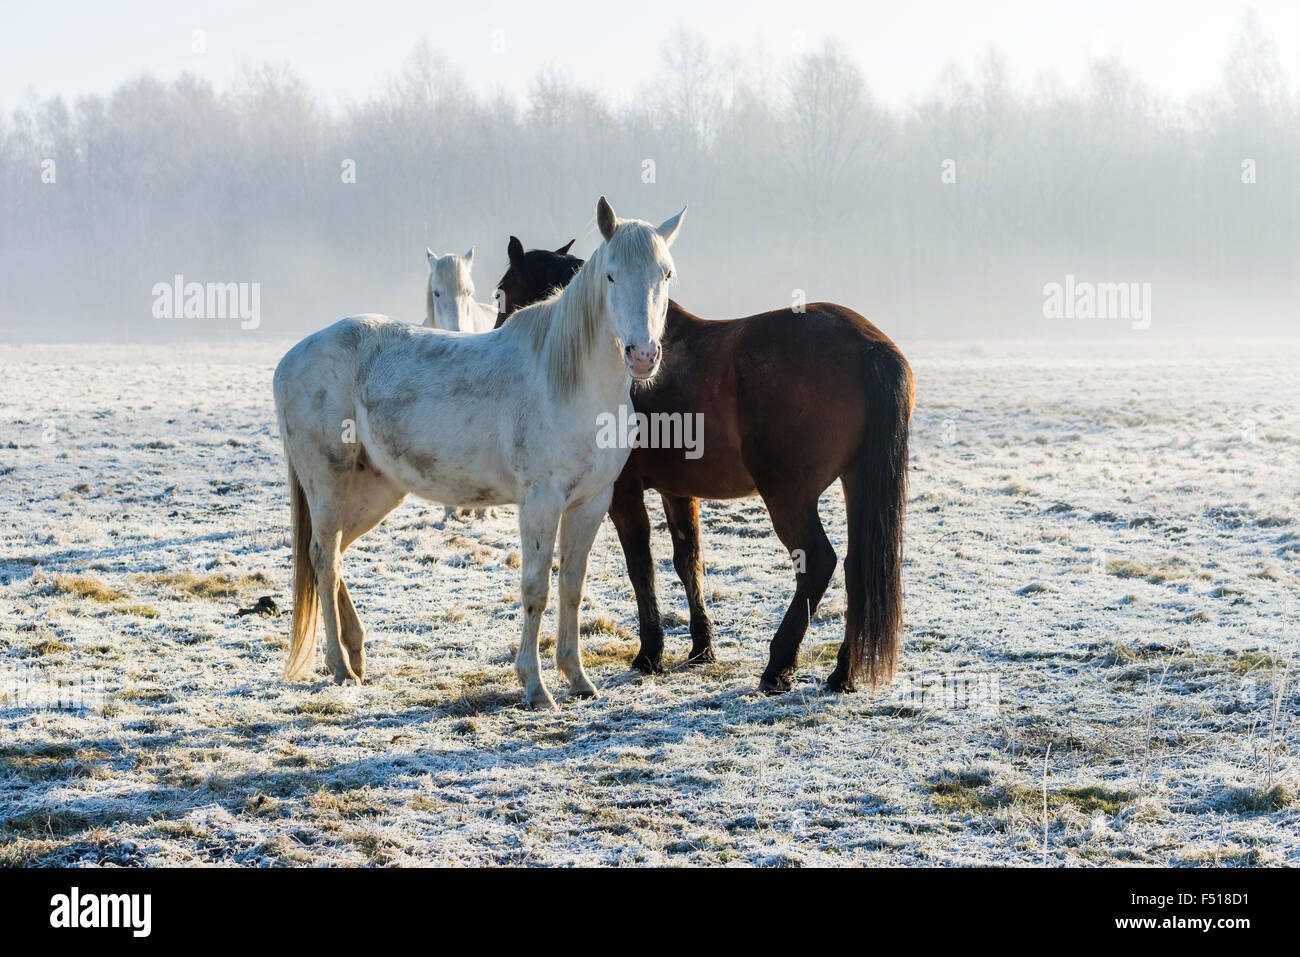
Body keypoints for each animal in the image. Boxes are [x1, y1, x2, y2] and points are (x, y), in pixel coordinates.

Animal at [274, 197, 686, 709]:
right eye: (610, 275)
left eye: (665, 274)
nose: (642, 355)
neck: (567, 381)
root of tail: (291, 358)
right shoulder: (540, 502)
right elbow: (536, 589)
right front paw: (535, 686)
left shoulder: (592, 501)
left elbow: (572, 586)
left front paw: (577, 678)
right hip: (329, 483)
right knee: (325, 561)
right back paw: (340, 668)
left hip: (376, 490)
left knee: (333, 554)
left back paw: (356, 653)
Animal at [496, 240, 912, 693]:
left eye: (503, 293)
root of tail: (867, 344)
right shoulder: (679, 489)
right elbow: (688, 561)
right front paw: (701, 647)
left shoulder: (621, 492)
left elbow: (640, 565)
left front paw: (650, 653)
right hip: (855, 484)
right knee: (859, 568)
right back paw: (842, 673)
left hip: (788, 496)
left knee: (818, 563)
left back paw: (779, 665)